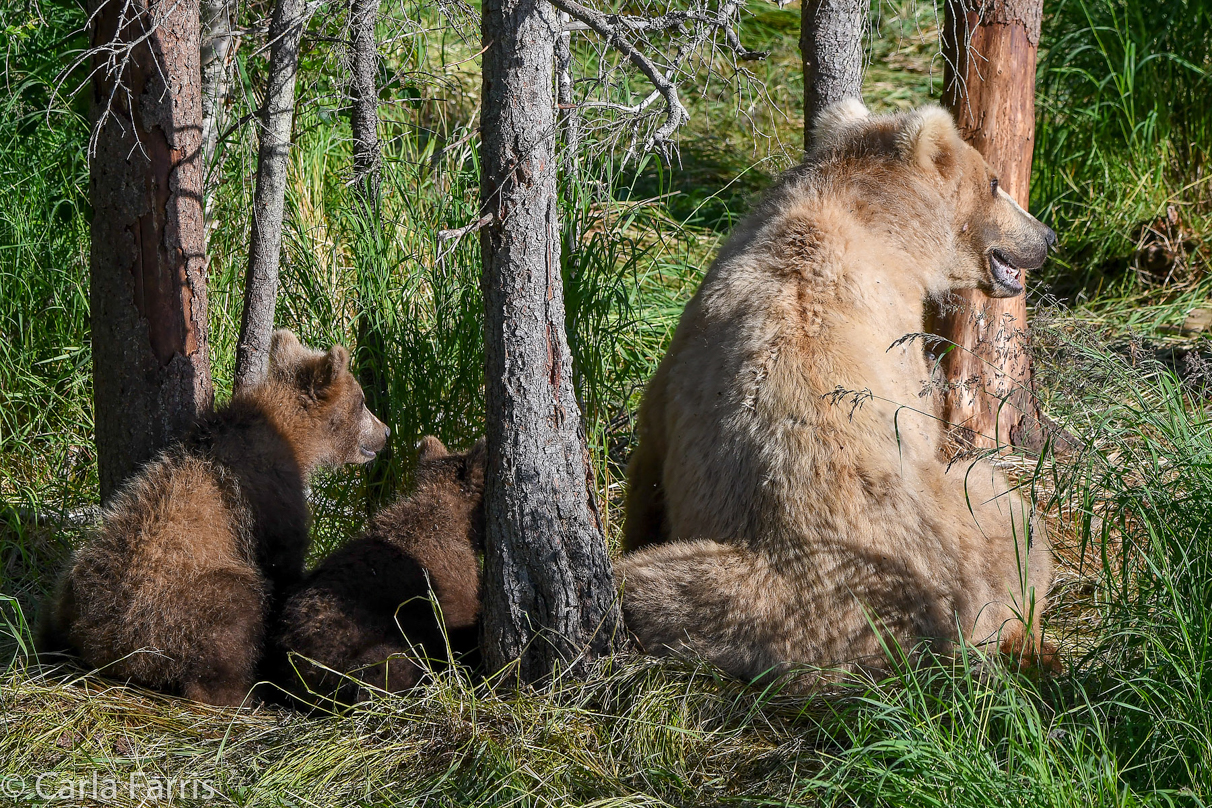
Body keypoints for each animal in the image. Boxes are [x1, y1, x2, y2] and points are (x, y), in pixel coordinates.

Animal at [39, 331, 387, 702]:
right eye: (363, 401)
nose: (386, 432)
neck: (293, 433)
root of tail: (102, 647)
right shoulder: (268, 498)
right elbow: (282, 563)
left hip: (68, 588)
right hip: (169, 610)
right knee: (233, 613)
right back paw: (240, 691)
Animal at [620, 99, 1056, 683]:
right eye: (993, 181)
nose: (1046, 236)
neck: (877, 223)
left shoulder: (682, 362)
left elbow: (647, 465)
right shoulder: (896, 335)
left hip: (709, 583)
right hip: (951, 543)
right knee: (1005, 510)